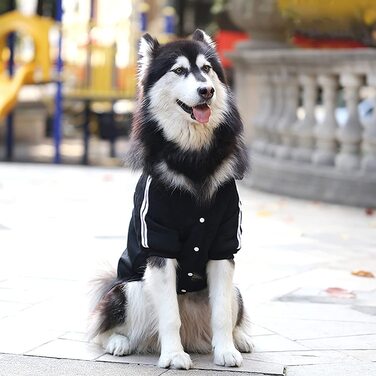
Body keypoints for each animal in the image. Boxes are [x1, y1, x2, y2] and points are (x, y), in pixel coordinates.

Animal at [89, 29, 253, 370]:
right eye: (178, 71)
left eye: (206, 69)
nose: (206, 91)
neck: (194, 158)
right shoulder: (159, 245)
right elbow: (169, 317)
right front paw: (174, 355)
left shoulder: (224, 246)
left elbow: (221, 314)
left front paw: (226, 350)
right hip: (130, 288)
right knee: (104, 324)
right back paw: (118, 342)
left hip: (236, 290)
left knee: (231, 311)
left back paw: (240, 338)